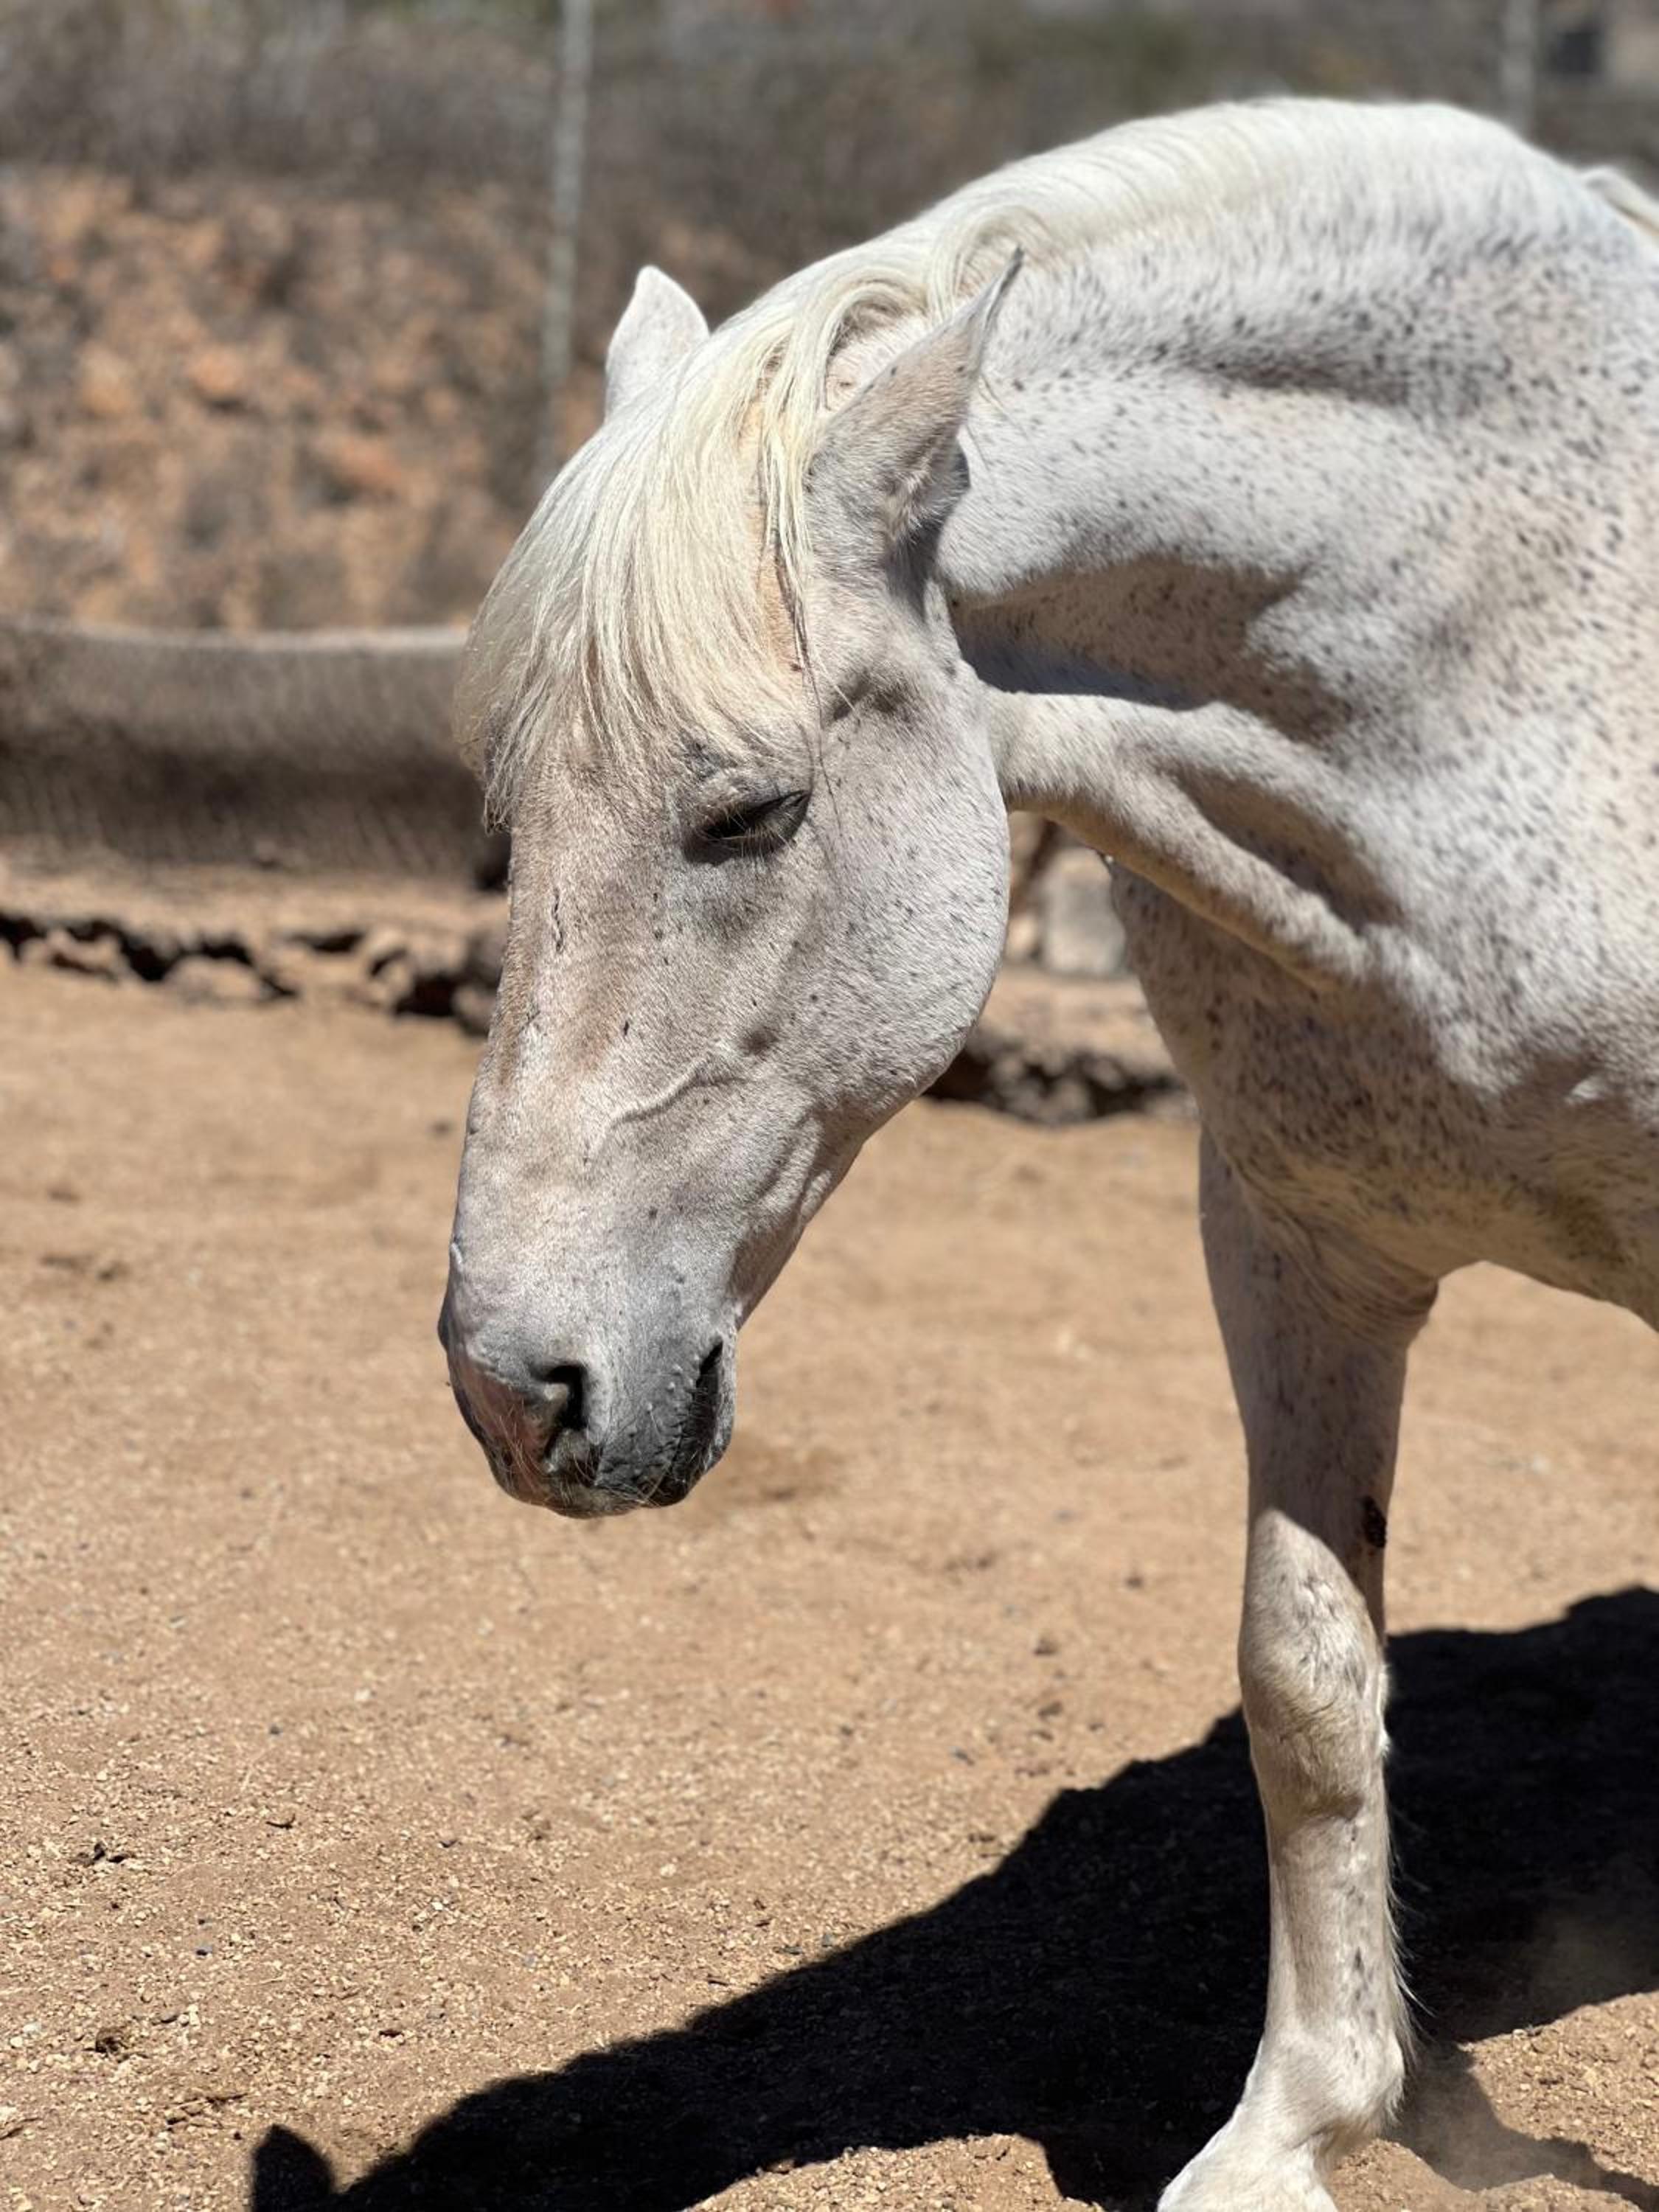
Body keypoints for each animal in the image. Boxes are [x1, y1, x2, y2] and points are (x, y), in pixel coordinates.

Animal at [437, 99, 1659, 2209]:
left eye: (751, 813)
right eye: (507, 810)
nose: (515, 1394)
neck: (1529, 646)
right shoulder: (1294, 1246)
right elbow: (1304, 1682)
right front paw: (1301, 2124)